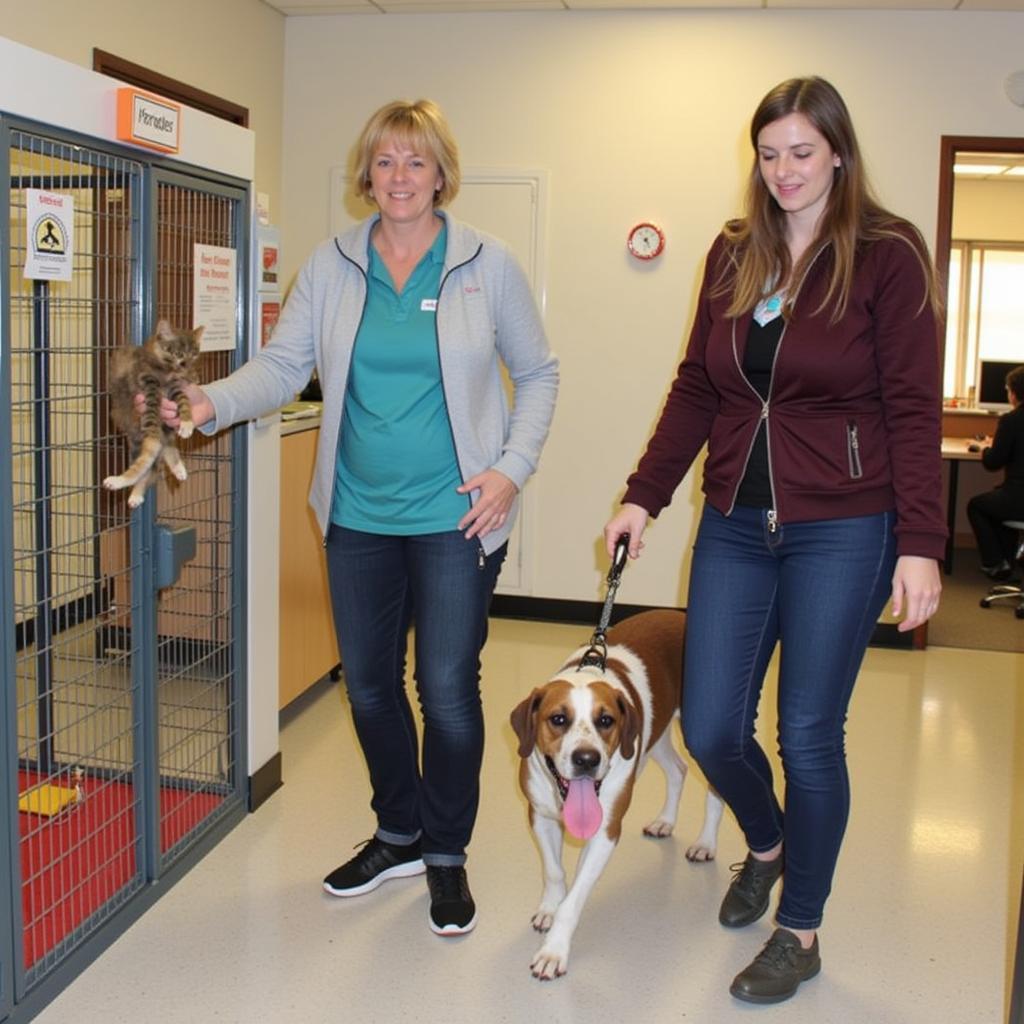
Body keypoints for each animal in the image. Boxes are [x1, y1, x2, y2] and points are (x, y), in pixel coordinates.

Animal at [103, 319, 203, 507]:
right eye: (178, 353)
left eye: (194, 354)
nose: (186, 365)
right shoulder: (148, 387)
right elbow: (147, 457)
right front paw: (120, 480)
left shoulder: (175, 388)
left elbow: (185, 401)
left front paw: (187, 423)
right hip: (140, 434)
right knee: (151, 456)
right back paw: (131, 489)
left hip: (162, 426)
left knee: (165, 446)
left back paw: (178, 469)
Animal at [509, 606, 720, 974]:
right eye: (558, 719)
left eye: (605, 721)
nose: (586, 759)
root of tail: (681, 614)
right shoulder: (540, 815)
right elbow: (554, 871)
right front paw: (550, 906)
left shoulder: (606, 830)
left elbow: (576, 897)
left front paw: (554, 950)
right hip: (655, 735)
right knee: (678, 770)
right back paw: (665, 821)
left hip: (706, 734)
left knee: (715, 791)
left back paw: (705, 843)